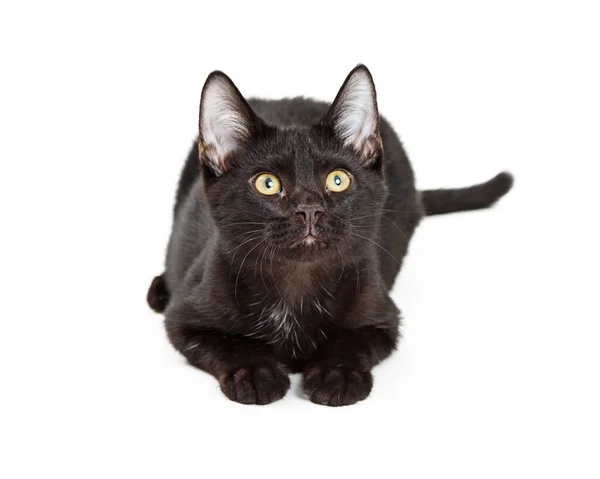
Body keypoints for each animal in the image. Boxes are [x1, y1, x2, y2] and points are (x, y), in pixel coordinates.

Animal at [148, 65, 512, 406]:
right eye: (268, 183)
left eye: (338, 180)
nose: (309, 209)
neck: (296, 286)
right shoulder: (185, 318)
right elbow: (231, 343)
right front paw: (255, 373)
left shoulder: (384, 317)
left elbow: (351, 341)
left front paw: (336, 375)